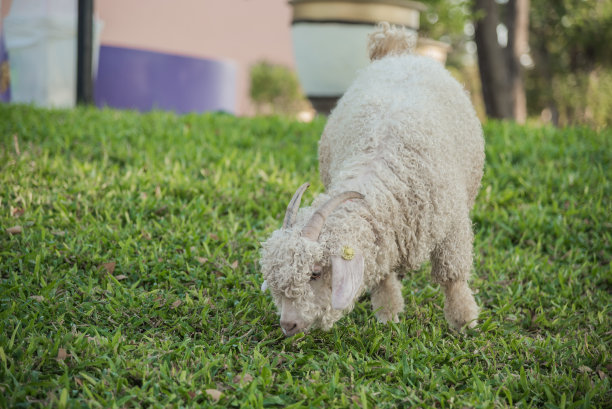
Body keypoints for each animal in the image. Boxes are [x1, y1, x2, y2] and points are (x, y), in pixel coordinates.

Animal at [260, 23, 486, 334]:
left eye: (315, 273)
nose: (288, 324)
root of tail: (395, 53)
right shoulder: (384, 235)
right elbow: (383, 277)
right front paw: (388, 315)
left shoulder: (453, 227)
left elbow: (452, 276)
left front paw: (465, 321)